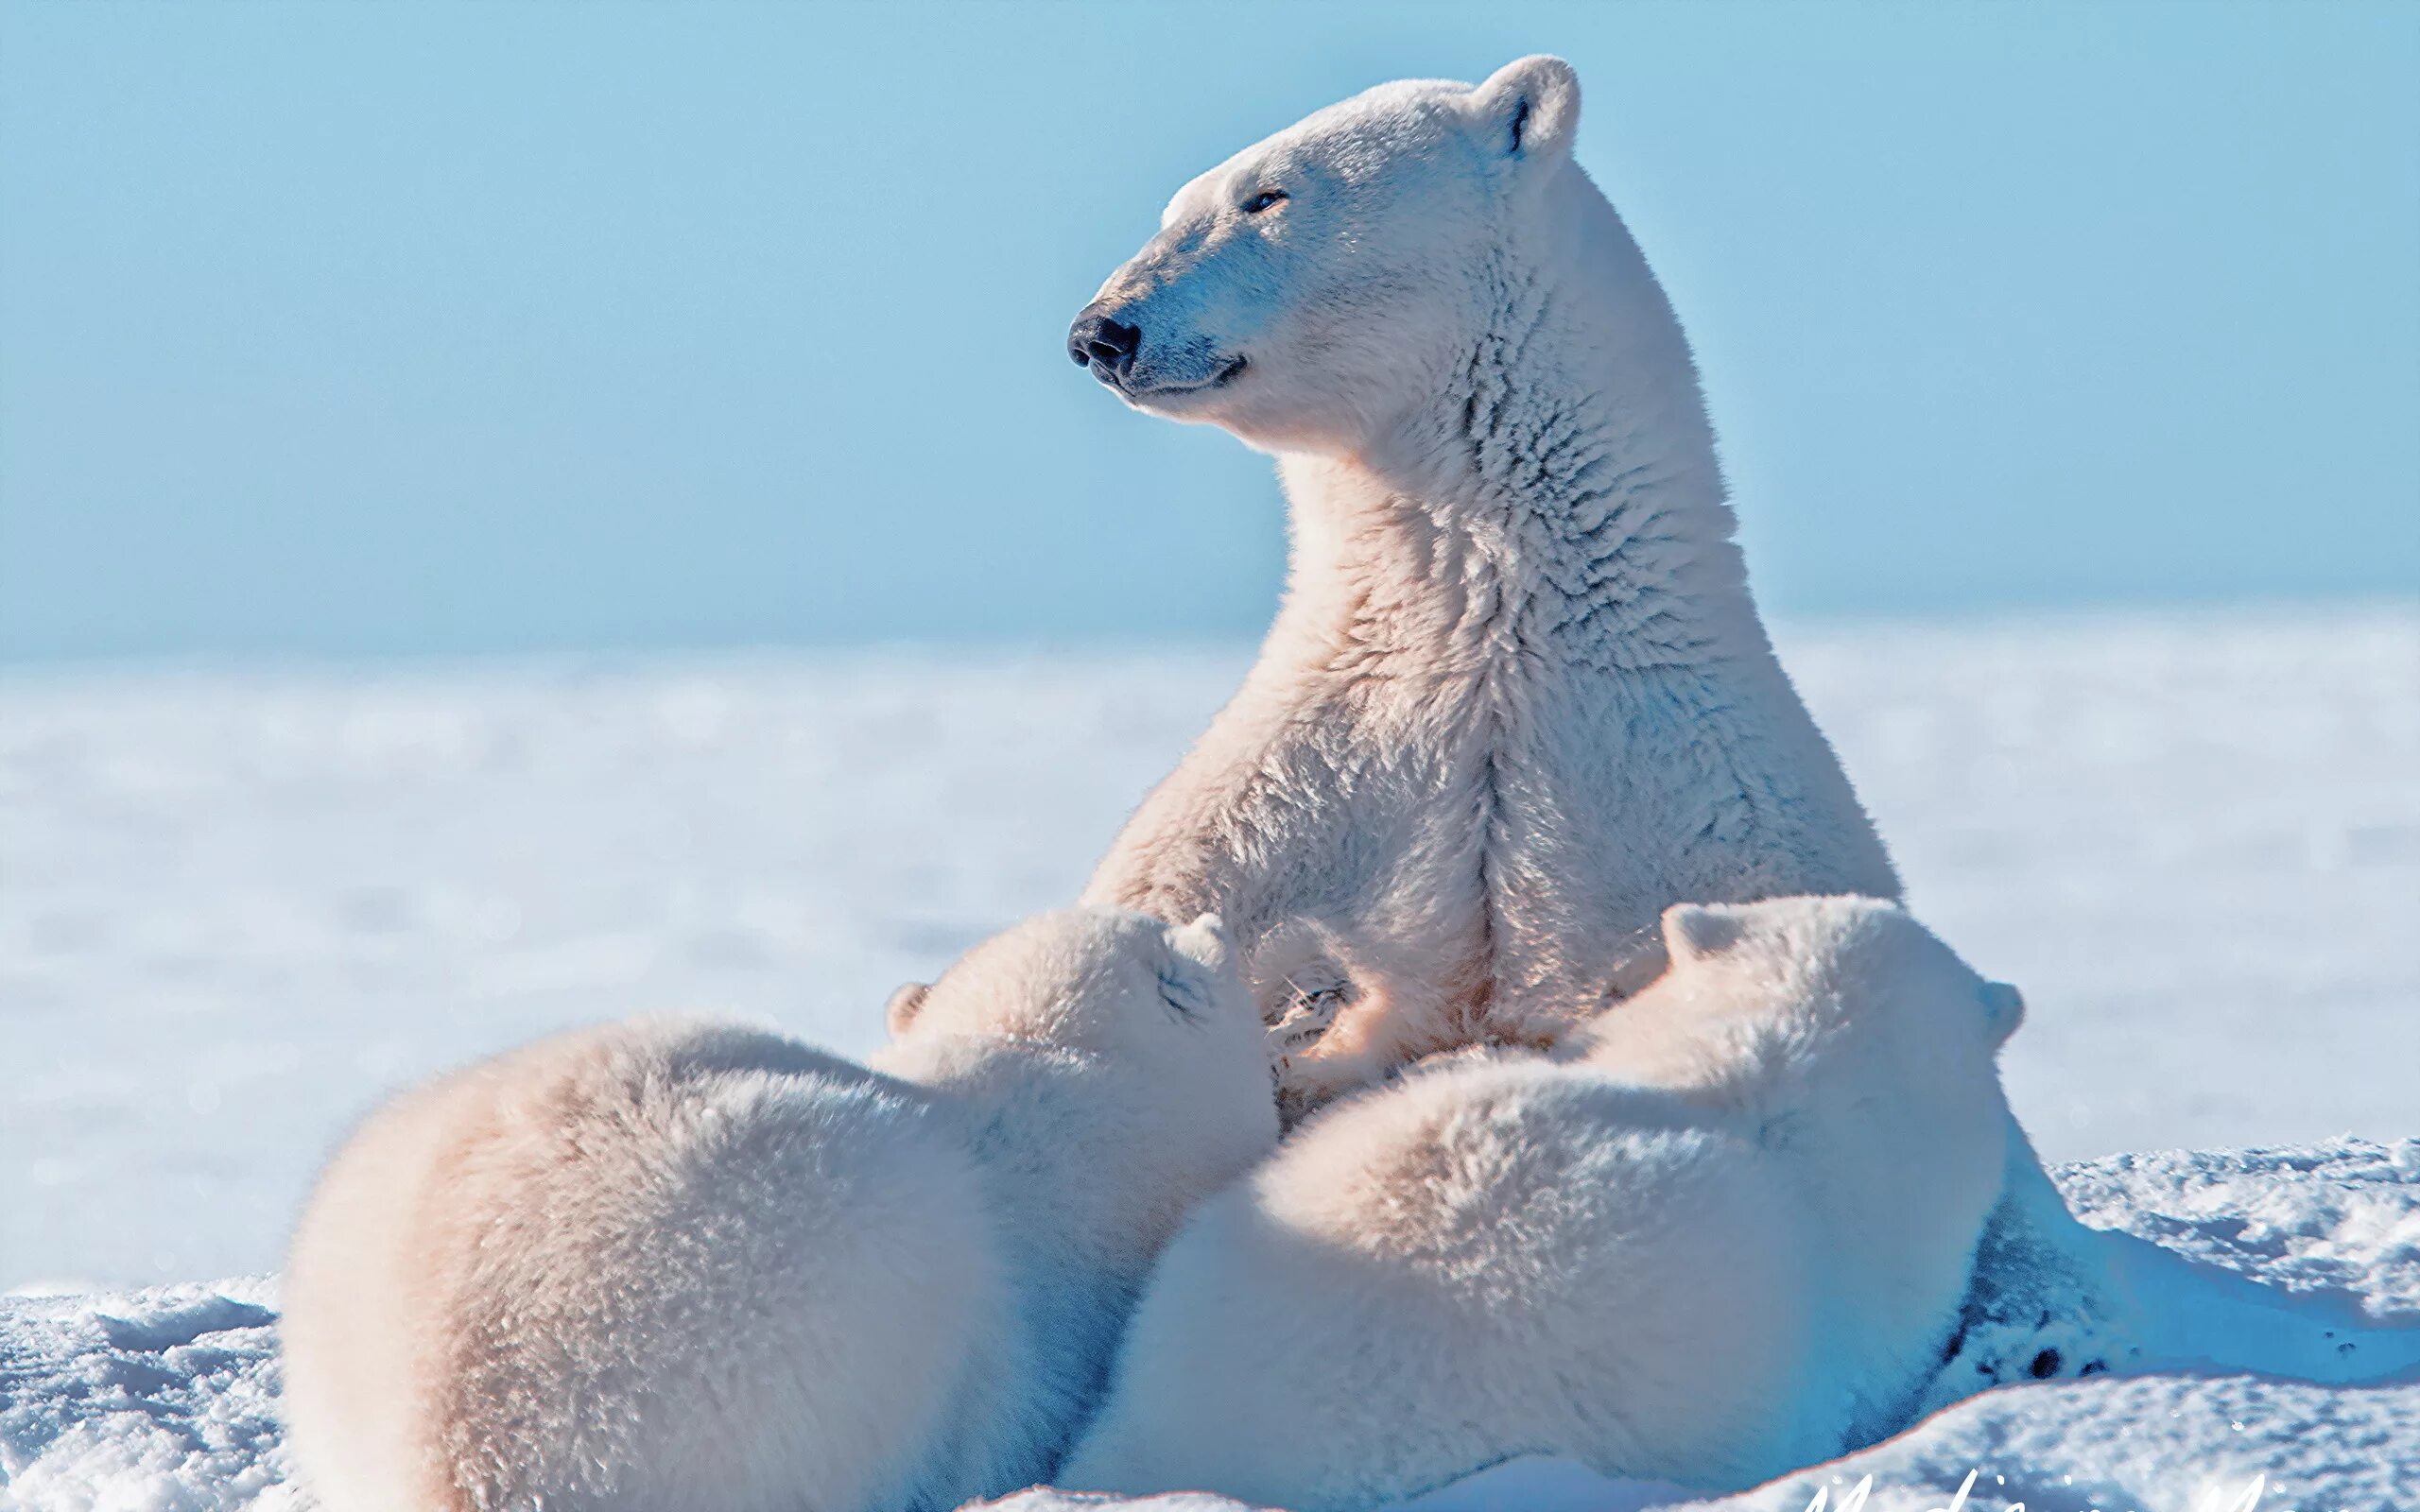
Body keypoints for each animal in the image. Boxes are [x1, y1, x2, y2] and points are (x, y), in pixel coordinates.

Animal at [1069, 59, 2129, 1383]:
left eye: (1266, 194)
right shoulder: (1313, 773)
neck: (1503, 639)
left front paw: (2042, 1333)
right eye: (1179, 202)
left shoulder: (1703, 796)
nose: (1101, 330)